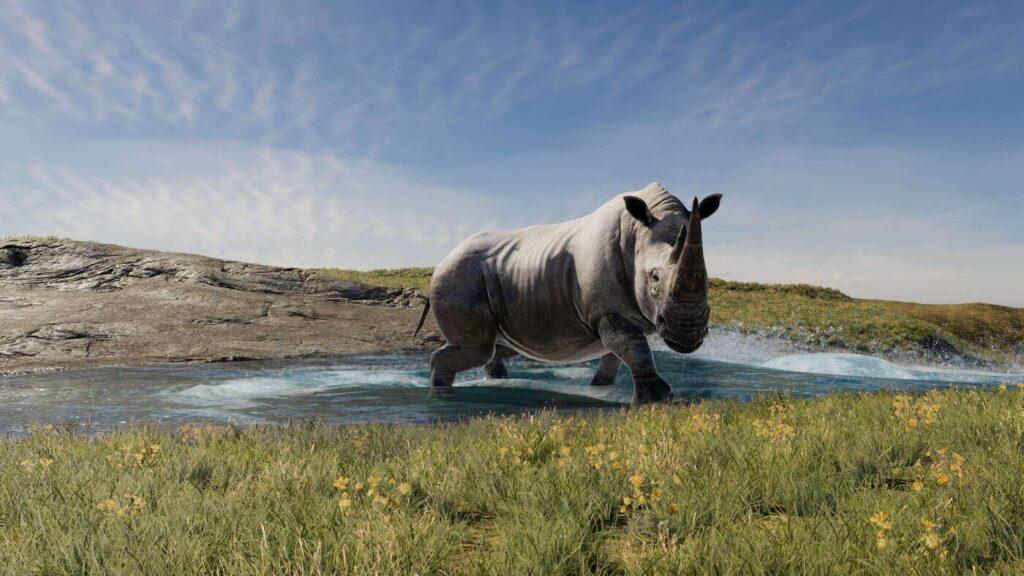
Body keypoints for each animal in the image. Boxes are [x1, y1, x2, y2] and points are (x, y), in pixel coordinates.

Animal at [414, 183, 722, 403]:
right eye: (654, 277)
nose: (688, 335)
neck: (636, 232)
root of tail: (442, 260)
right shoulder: (606, 310)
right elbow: (634, 348)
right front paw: (659, 401)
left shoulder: (616, 310)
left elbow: (617, 354)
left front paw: (600, 389)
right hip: (457, 277)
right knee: (479, 348)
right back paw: (442, 395)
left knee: (495, 347)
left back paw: (497, 383)